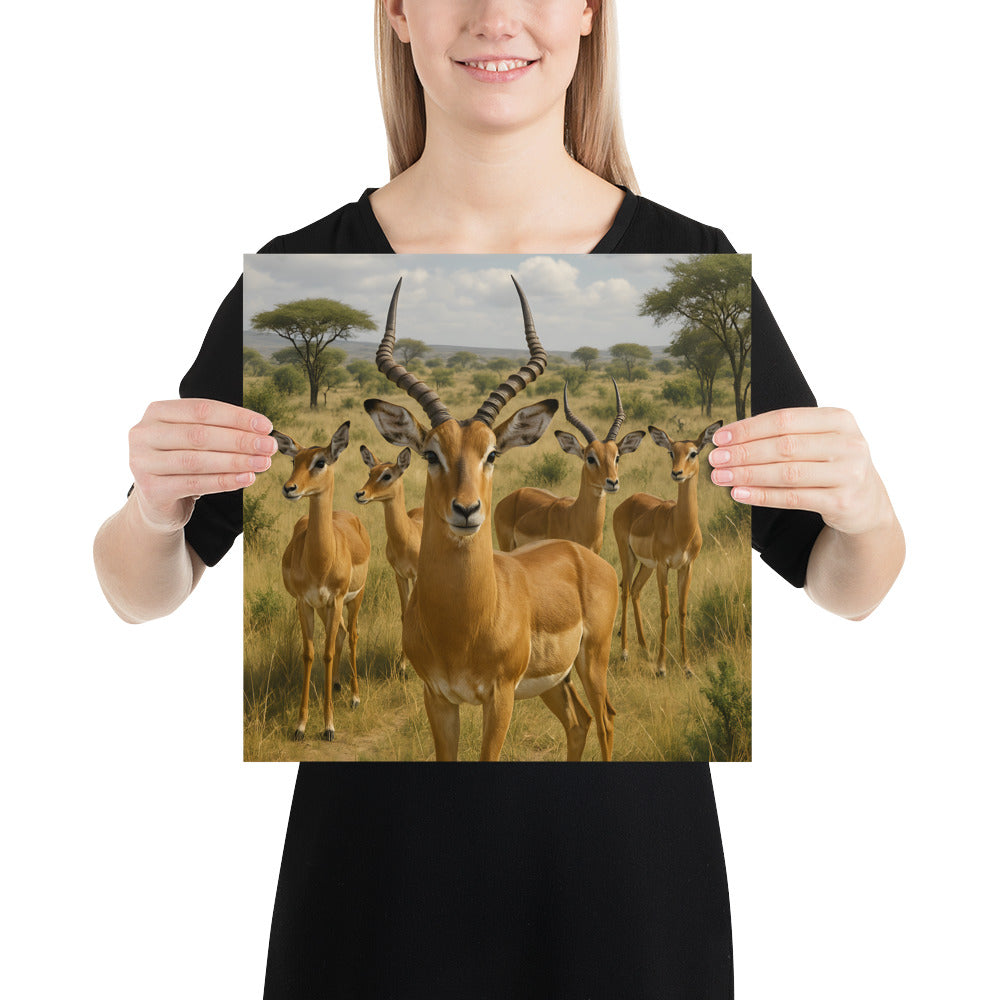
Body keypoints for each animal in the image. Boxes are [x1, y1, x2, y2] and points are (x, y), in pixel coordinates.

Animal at [272, 421, 371, 741]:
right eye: (294, 460)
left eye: (320, 461)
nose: (290, 488)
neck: (320, 560)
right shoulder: (304, 603)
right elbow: (309, 654)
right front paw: (300, 726)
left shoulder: (336, 599)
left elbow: (326, 654)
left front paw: (328, 726)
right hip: (326, 608)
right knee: (340, 634)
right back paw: (338, 685)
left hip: (354, 600)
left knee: (351, 635)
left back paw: (354, 697)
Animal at [354, 444, 423, 676]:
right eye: (370, 472)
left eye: (387, 475)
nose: (360, 494)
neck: (407, 536)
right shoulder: (399, 575)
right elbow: (404, 614)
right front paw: (402, 665)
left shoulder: (417, 576)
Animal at [365, 275, 619, 762]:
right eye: (431, 454)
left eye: (492, 453)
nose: (466, 510)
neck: (462, 624)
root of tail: (585, 556)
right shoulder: (438, 698)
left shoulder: (499, 697)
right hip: (554, 682)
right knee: (578, 723)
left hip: (593, 662)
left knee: (606, 722)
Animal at [613, 420, 722, 678]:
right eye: (671, 452)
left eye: (693, 452)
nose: (677, 473)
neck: (680, 528)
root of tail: (627, 502)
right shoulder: (664, 566)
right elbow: (665, 611)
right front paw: (662, 668)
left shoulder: (686, 566)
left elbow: (682, 611)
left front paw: (687, 667)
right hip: (628, 556)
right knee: (624, 590)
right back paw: (625, 652)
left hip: (646, 565)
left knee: (635, 590)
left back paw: (645, 649)